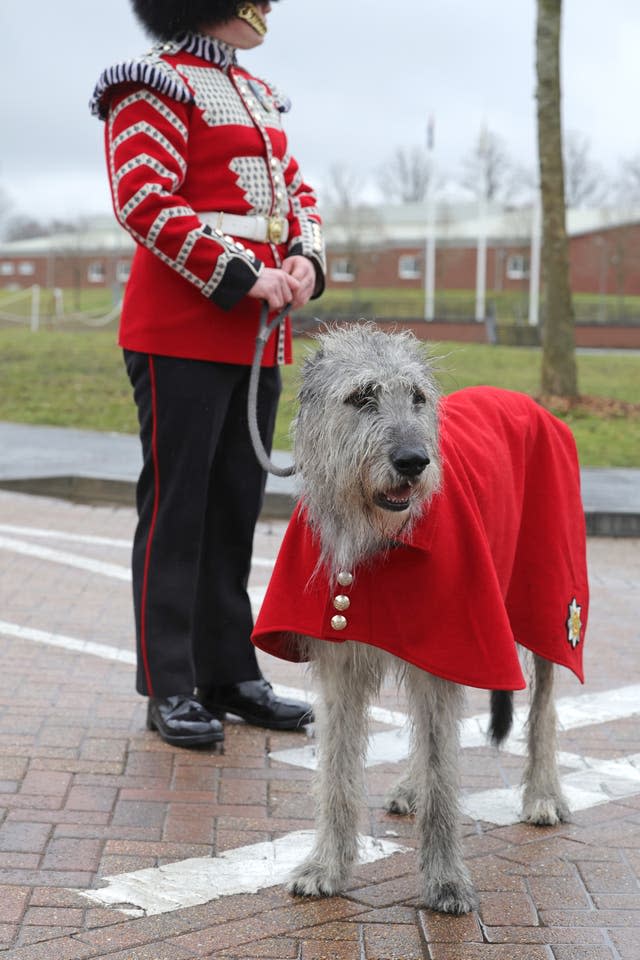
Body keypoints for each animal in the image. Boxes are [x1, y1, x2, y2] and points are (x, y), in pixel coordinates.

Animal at [251, 324, 592, 916]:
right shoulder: (345, 663)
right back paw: (410, 788)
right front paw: (326, 867)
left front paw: (446, 880)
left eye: (418, 397)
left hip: (552, 599)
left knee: (544, 705)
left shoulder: (452, 641)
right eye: (363, 396)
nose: (414, 460)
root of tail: (527, 401)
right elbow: (338, 770)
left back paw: (544, 793)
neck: (378, 542)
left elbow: (443, 774)